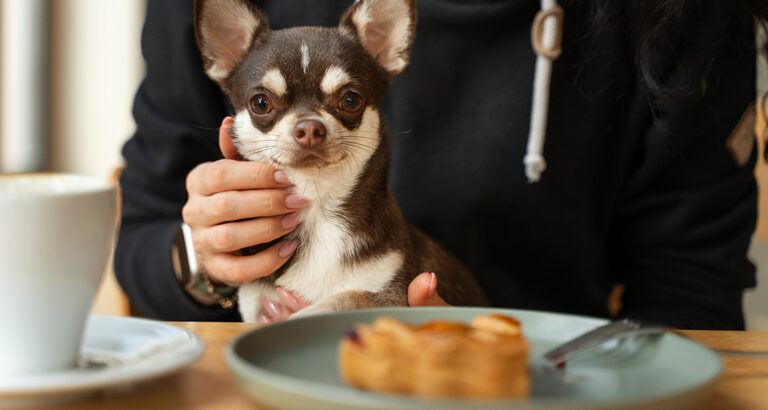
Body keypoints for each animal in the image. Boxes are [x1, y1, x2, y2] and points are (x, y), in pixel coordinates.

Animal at [196, 0, 486, 320]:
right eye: (260, 103)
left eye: (350, 100)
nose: (309, 128)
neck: (317, 206)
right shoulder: (256, 304)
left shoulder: (393, 295)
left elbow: (344, 298)